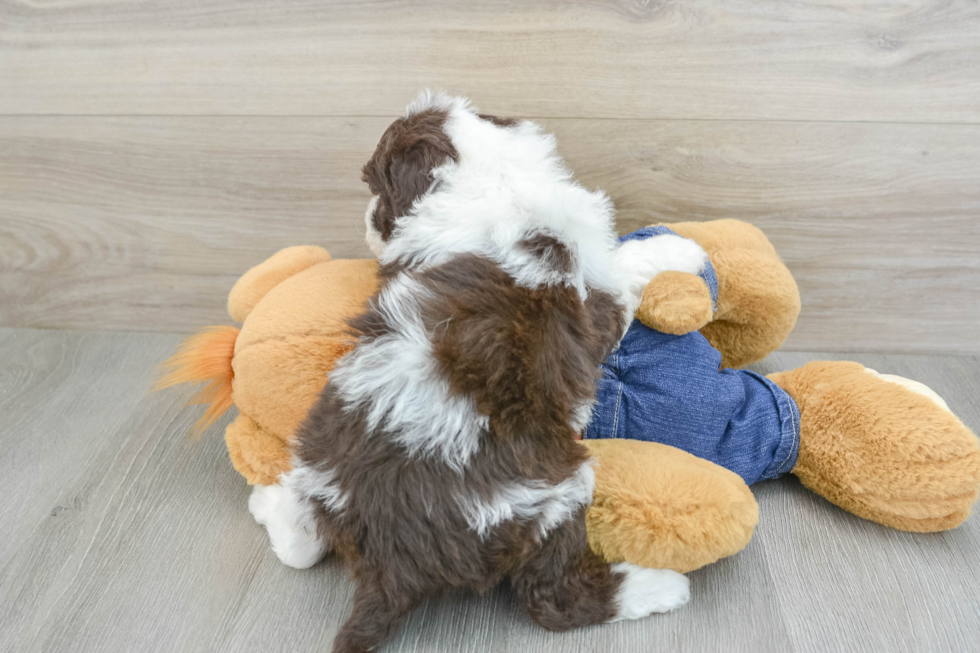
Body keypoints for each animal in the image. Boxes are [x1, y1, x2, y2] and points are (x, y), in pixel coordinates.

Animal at [245, 93, 704, 652]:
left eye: (376, 190)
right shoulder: (598, 294)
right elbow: (626, 264)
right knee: (556, 601)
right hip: (553, 494)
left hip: (319, 447)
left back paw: (268, 503)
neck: (493, 179)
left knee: (302, 542)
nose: (367, 221)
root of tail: (390, 562)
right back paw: (659, 587)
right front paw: (680, 248)